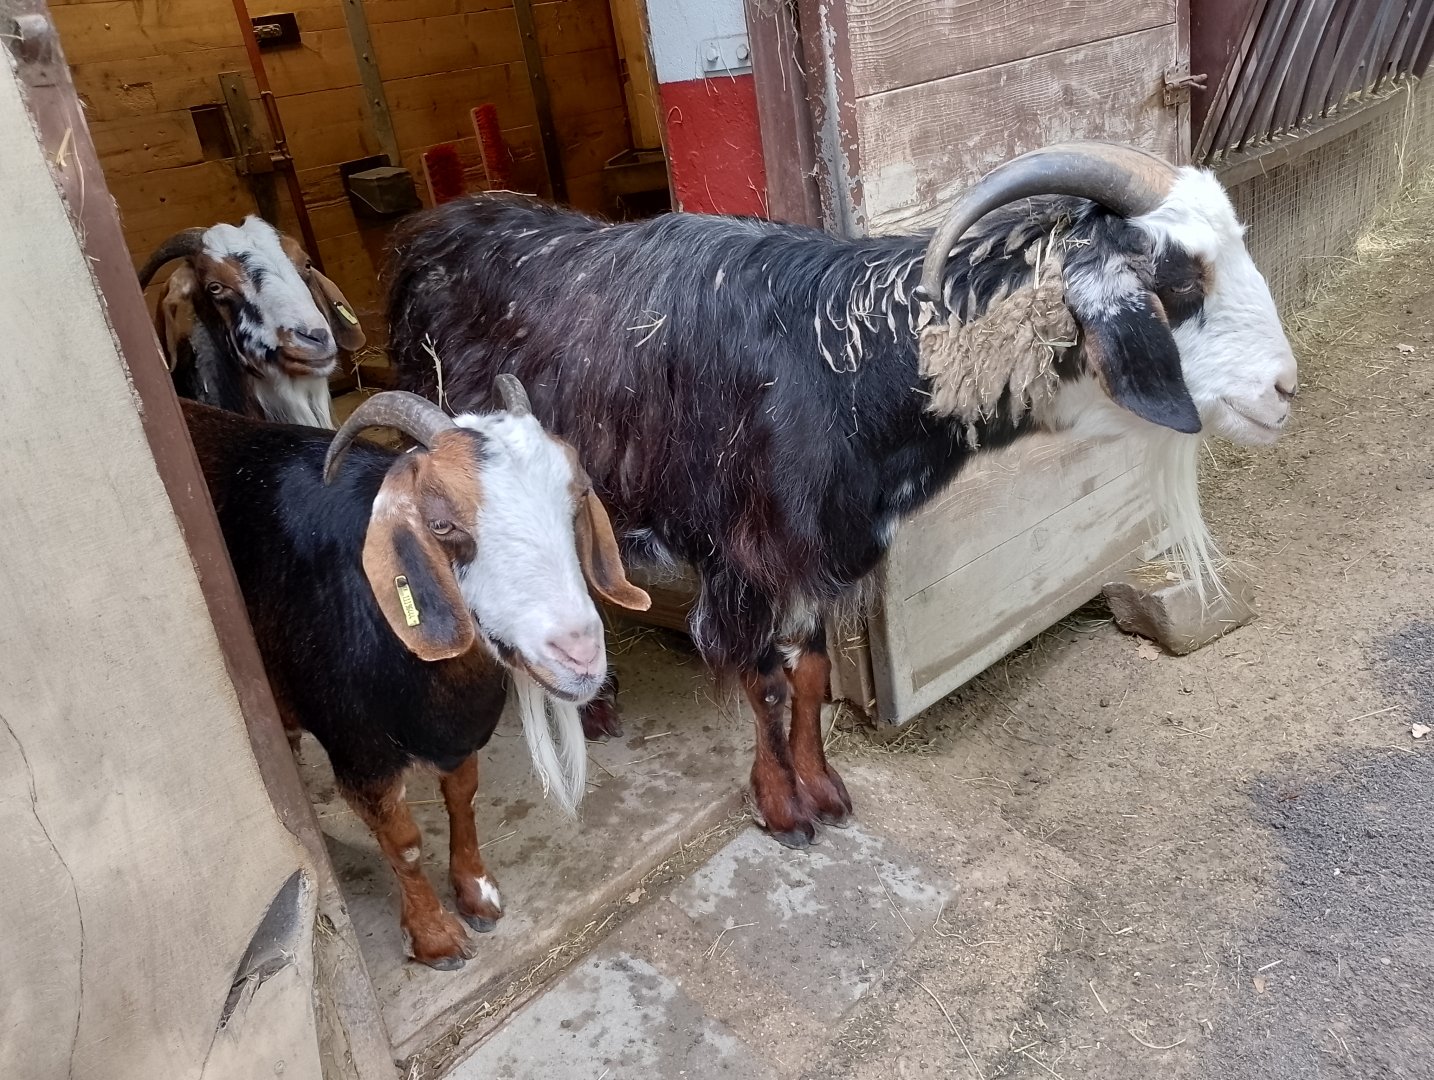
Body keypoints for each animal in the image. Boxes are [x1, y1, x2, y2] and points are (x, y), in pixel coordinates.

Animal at [185, 384, 651, 968]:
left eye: (578, 498)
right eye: (442, 524)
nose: (579, 654)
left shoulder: (459, 735)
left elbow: (463, 799)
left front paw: (477, 894)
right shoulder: (360, 756)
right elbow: (403, 843)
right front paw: (435, 937)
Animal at [384, 141, 1299, 848]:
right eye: (1180, 281)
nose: (1283, 389)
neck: (841, 367)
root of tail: (430, 231)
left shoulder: (833, 546)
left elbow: (816, 673)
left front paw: (823, 788)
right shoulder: (743, 557)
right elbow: (763, 681)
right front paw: (784, 808)